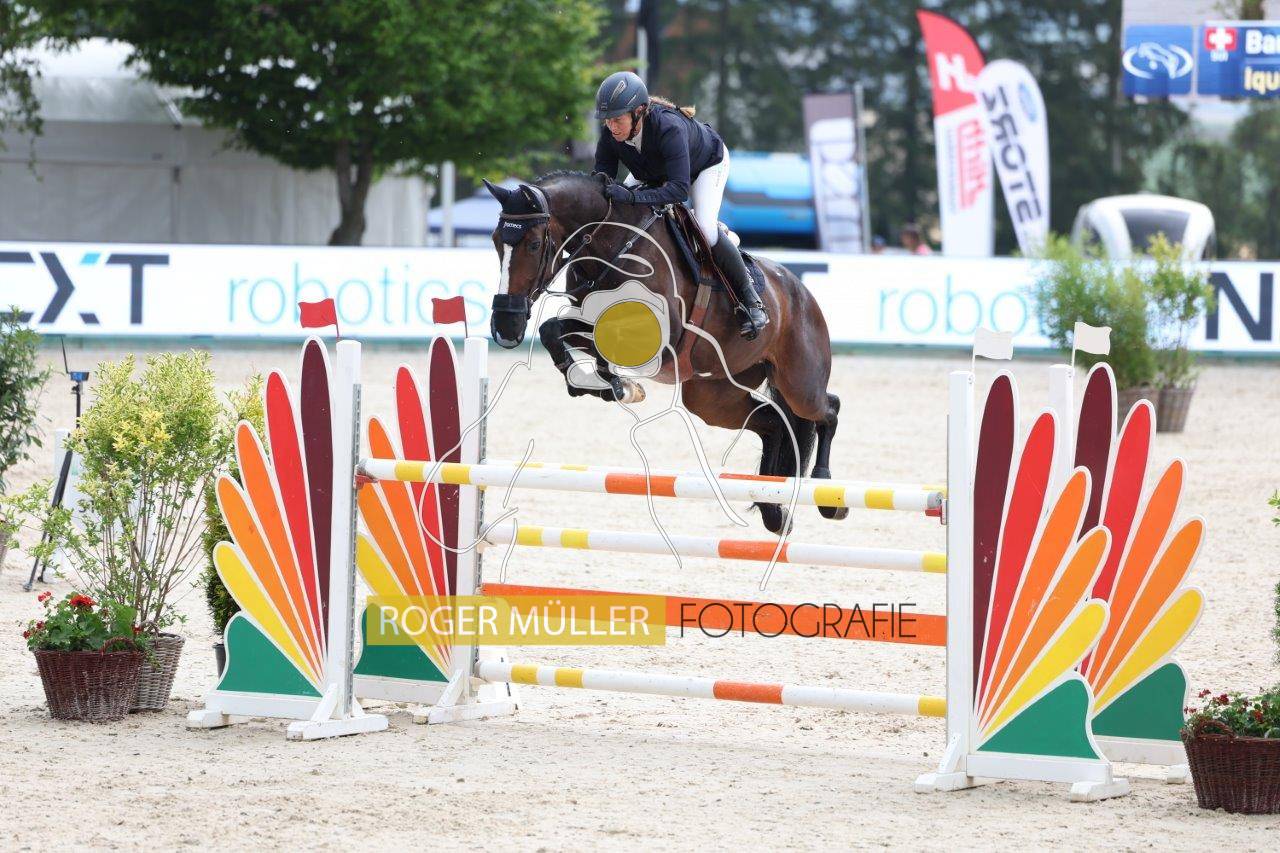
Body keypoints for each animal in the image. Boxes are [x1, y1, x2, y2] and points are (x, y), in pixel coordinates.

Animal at [484, 171, 843, 535]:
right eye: (496, 241)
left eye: (533, 244)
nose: (506, 326)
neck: (615, 246)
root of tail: (800, 292)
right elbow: (554, 330)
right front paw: (599, 383)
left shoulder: (656, 335)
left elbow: (593, 334)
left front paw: (619, 386)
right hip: (711, 397)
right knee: (774, 422)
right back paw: (774, 512)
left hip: (798, 383)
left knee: (828, 408)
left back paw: (828, 494)